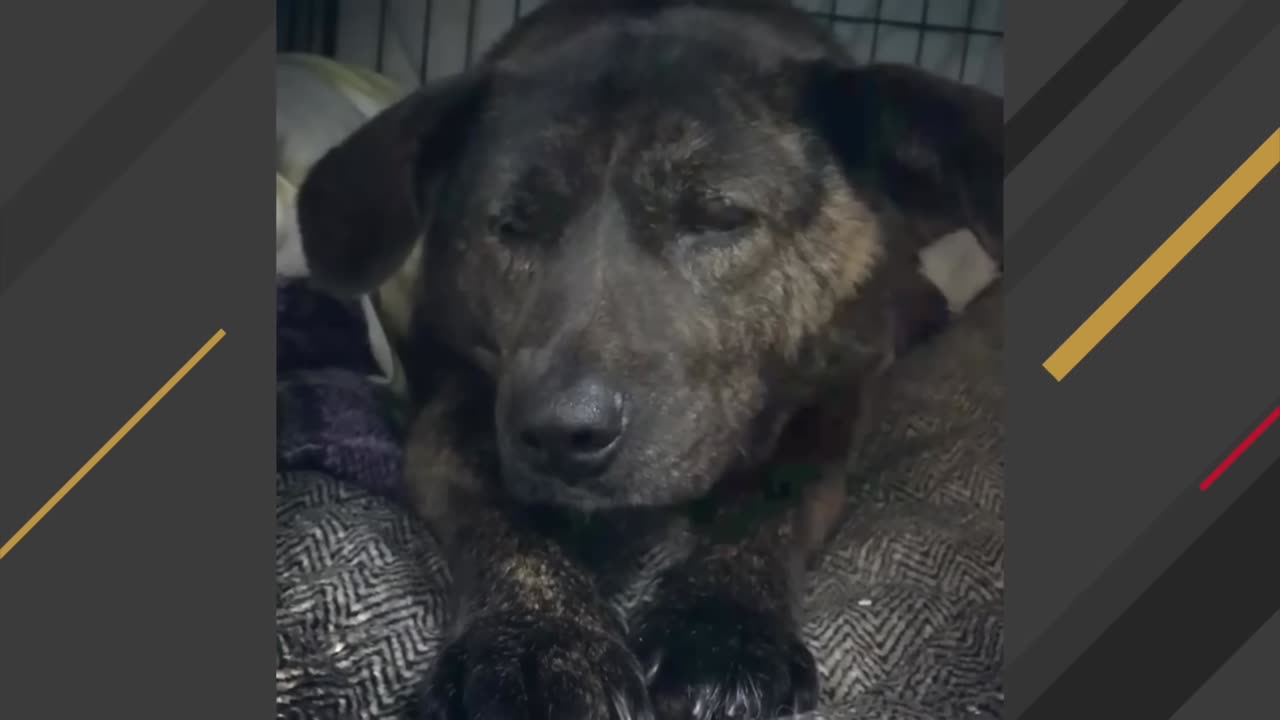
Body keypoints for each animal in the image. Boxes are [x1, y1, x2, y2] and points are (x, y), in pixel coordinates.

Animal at [296, 2, 998, 712]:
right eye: (512, 226)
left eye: (720, 219)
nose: (562, 434)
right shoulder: (457, 394)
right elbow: (494, 507)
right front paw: (535, 639)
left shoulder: (837, 392)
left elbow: (777, 495)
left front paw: (723, 625)